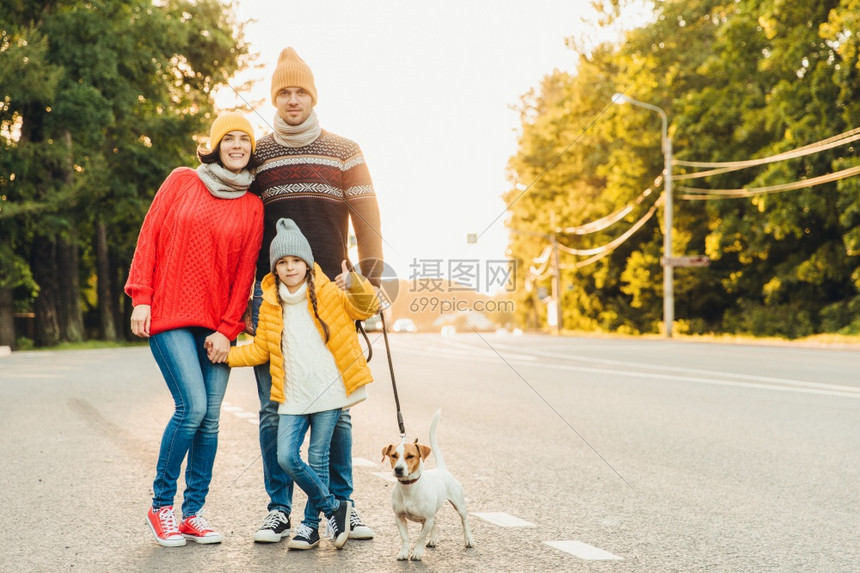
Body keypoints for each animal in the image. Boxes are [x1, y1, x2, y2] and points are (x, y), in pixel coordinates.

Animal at [382, 408, 478, 560]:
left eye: (410, 456)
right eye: (393, 455)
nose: (398, 469)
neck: (409, 487)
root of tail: (441, 469)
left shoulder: (427, 519)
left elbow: (420, 537)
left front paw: (417, 552)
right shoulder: (399, 517)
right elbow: (405, 538)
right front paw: (404, 552)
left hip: (459, 505)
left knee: (464, 521)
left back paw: (468, 539)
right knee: (436, 520)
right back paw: (433, 540)